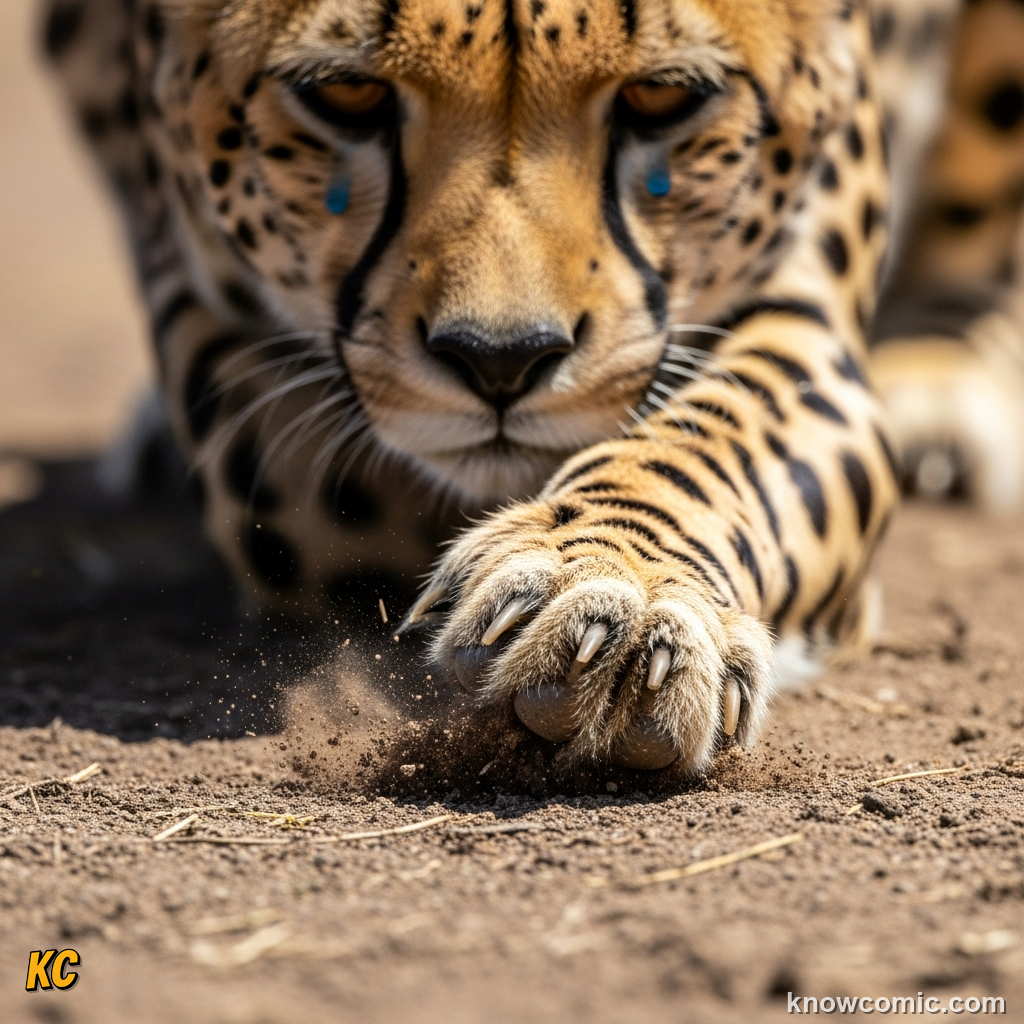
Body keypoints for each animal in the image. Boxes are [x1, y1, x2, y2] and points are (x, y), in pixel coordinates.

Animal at [42, 0, 1024, 773]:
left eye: (665, 96)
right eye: (344, 94)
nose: (501, 361)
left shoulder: (804, 327)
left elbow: (717, 442)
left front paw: (619, 594)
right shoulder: (215, 343)